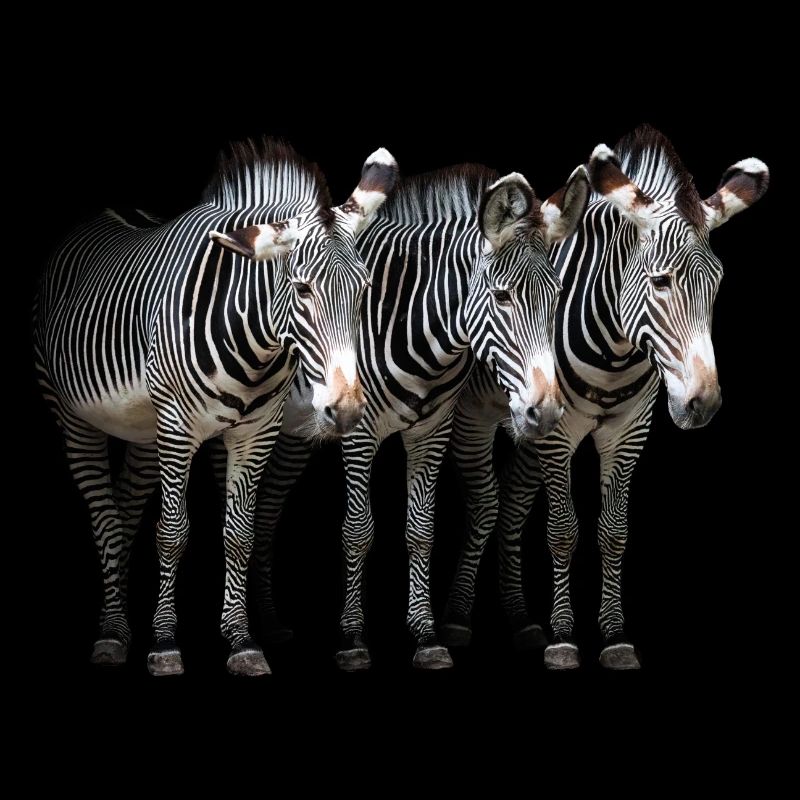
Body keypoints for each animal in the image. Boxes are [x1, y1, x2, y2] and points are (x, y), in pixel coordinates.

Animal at [33, 138, 398, 676]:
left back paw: (117, 624)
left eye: (365, 290)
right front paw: (164, 644)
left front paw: (242, 641)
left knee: (123, 510)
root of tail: (108, 210)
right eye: (302, 289)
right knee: (104, 519)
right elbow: (172, 533)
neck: (254, 343)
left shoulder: (256, 432)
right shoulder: (177, 428)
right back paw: (112, 635)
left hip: (143, 430)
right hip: (77, 418)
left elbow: (239, 534)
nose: (348, 411)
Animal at [235, 161, 591, 670]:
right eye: (502, 297)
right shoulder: (359, 430)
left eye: (557, 295)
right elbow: (358, 530)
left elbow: (421, 530)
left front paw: (425, 635)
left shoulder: (433, 430)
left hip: (294, 431)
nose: (544, 412)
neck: (412, 323)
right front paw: (354, 638)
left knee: (265, 509)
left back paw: (270, 625)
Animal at [441, 125, 769, 669]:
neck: (615, 351)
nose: (703, 405)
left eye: (718, 284)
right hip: (477, 416)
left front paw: (614, 635)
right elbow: (562, 530)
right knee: (486, 505)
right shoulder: (558, 434)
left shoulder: (628, 431)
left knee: (511, 503)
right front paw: (565, 638)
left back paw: (520, 619)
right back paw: (458, 618)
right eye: (660, 282)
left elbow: (613, 531)